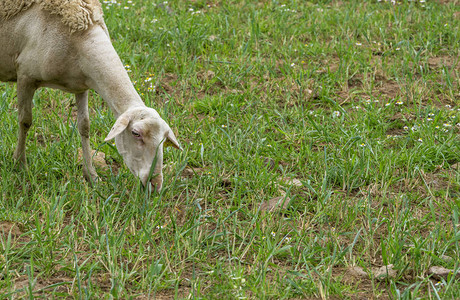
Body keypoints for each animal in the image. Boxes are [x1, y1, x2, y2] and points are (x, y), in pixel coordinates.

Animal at [0, 0, 182, 191]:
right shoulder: (25, 76)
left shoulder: (81, 85)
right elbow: (25, 121)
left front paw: (91, 176)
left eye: (163, 140)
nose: (156, 185)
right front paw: (20, 164)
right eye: (135, 133)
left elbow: (84, 126)